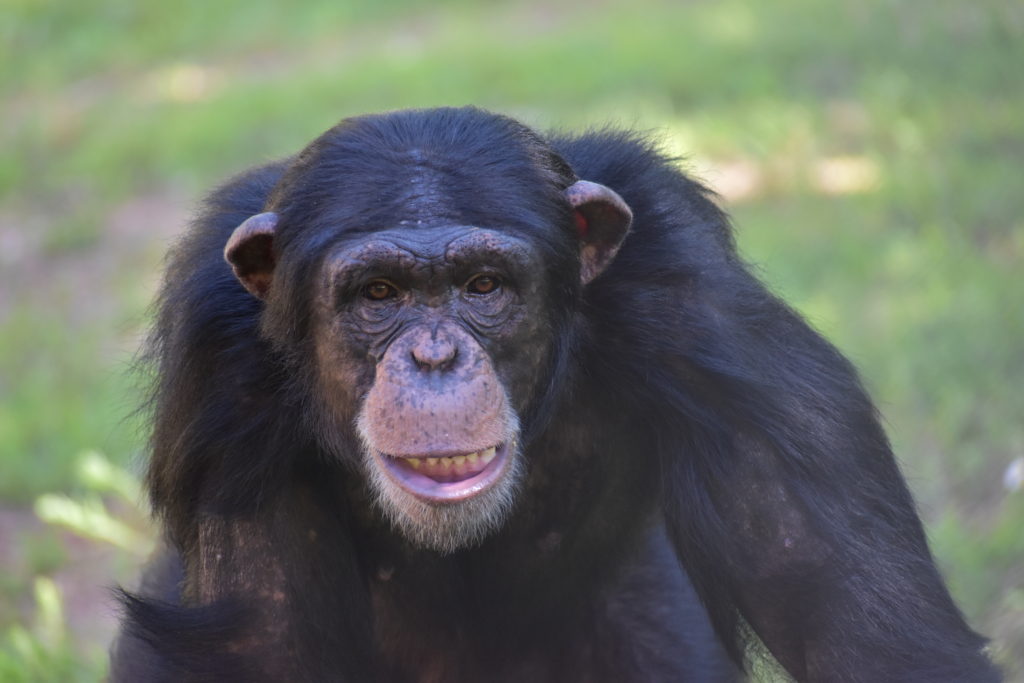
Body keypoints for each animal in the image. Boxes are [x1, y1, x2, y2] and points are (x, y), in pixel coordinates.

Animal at [112, 108, 999, 683]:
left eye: (483, 285)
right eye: (378, 294)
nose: (435, 355)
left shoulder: (695, 299)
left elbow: (847, 609)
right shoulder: (222, 367)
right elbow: (260, 643)